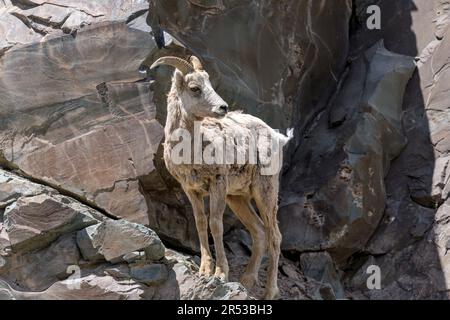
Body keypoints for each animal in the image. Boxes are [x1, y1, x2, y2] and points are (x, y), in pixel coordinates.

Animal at [146, 55, 290, 300]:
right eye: (195, 88)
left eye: (210, 84)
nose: (223, 108)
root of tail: (277, 136)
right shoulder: (191, 190)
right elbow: (201, 223)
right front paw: (205, 270)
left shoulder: (218, 185)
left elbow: (215, 224)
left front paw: (220, 273)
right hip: (238, 198)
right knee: (259, 232)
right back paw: (246, 281)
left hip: (265, 191)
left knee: (275, 236)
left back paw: (270, 292)